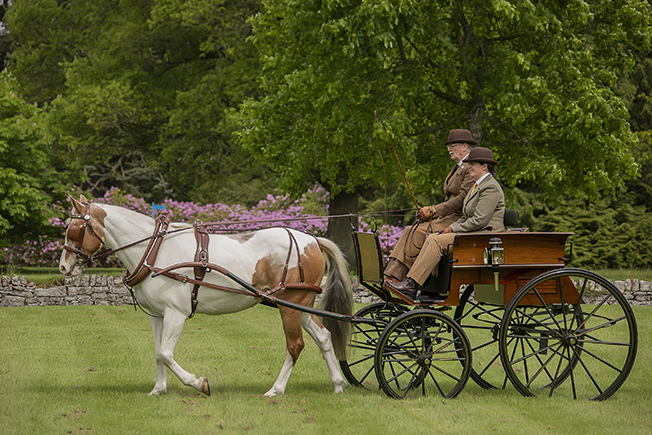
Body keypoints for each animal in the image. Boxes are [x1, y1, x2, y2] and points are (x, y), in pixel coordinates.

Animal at [59, 195, 353, 397]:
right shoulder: (157, 315)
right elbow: (157, 352)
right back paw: (338, 384)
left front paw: (199, 383)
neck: (155, 249)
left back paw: (276, 390)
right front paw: (159, 389)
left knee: (295, 345)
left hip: (290, 306)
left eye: (73, 230)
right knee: (324, 337)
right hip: (301, 306)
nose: (63, 267)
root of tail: (312, 240)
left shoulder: (175, 314)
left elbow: (166, 352)